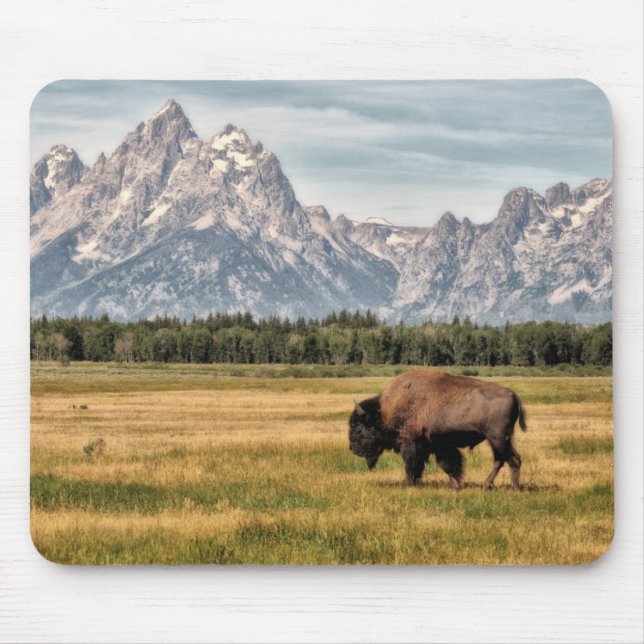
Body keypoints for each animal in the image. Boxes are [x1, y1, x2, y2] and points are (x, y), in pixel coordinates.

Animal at [349, 369, 527, 489]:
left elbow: (413, 465)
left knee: (513, 459)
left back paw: (514, 488)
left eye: (358, 429)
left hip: (498, 438)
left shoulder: (412, 444)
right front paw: (456, 485)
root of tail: (512, 394)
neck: (385, 411)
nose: (352, 448)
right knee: (500, 460)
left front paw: (409, 483)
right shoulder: (441, 446)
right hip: (496, 440)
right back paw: (486, 485)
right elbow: (449, 466)